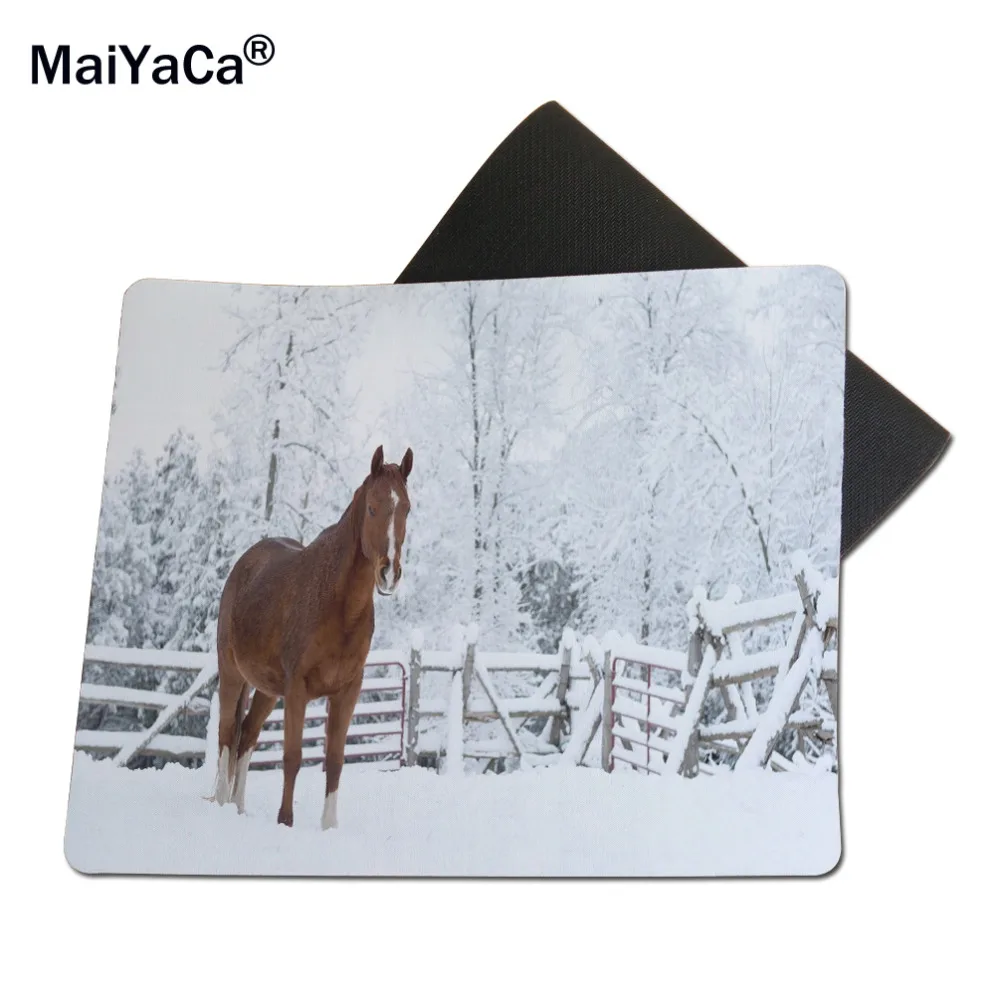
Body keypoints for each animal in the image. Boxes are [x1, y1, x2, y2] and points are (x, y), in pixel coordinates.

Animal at [210, 444, 413, 829]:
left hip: (267, 689)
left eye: (407, 508)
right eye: (372, 507)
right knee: (227, 733)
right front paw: (285, 821)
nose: (389, 574)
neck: (338, 604)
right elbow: (292, 755)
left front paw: (329, 826)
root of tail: (244, 564)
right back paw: (220, 803)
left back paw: (238, 807)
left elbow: (334, 760)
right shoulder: (298, 689)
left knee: (247, 735)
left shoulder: (347, 691)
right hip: (232, 673)